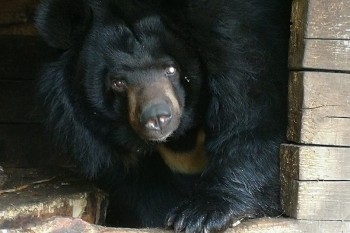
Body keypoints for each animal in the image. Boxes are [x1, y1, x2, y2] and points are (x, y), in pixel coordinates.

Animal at [36, 0, 292, 232]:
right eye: (118, 82)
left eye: (170, 69)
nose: (157, 118)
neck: (181, 138)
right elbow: (142, 189)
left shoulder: (237, 47)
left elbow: (252, 120)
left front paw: (198, 216)